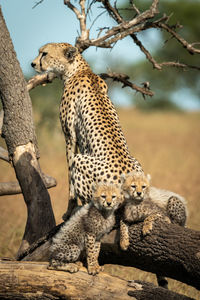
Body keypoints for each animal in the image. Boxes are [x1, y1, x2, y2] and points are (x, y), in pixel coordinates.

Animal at [31, 42, 143, 216]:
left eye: (44, 53)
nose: (33, 64)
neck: (78, 70)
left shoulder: (69, 136)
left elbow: (69, 175)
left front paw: (69, 209)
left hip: (82, 162)